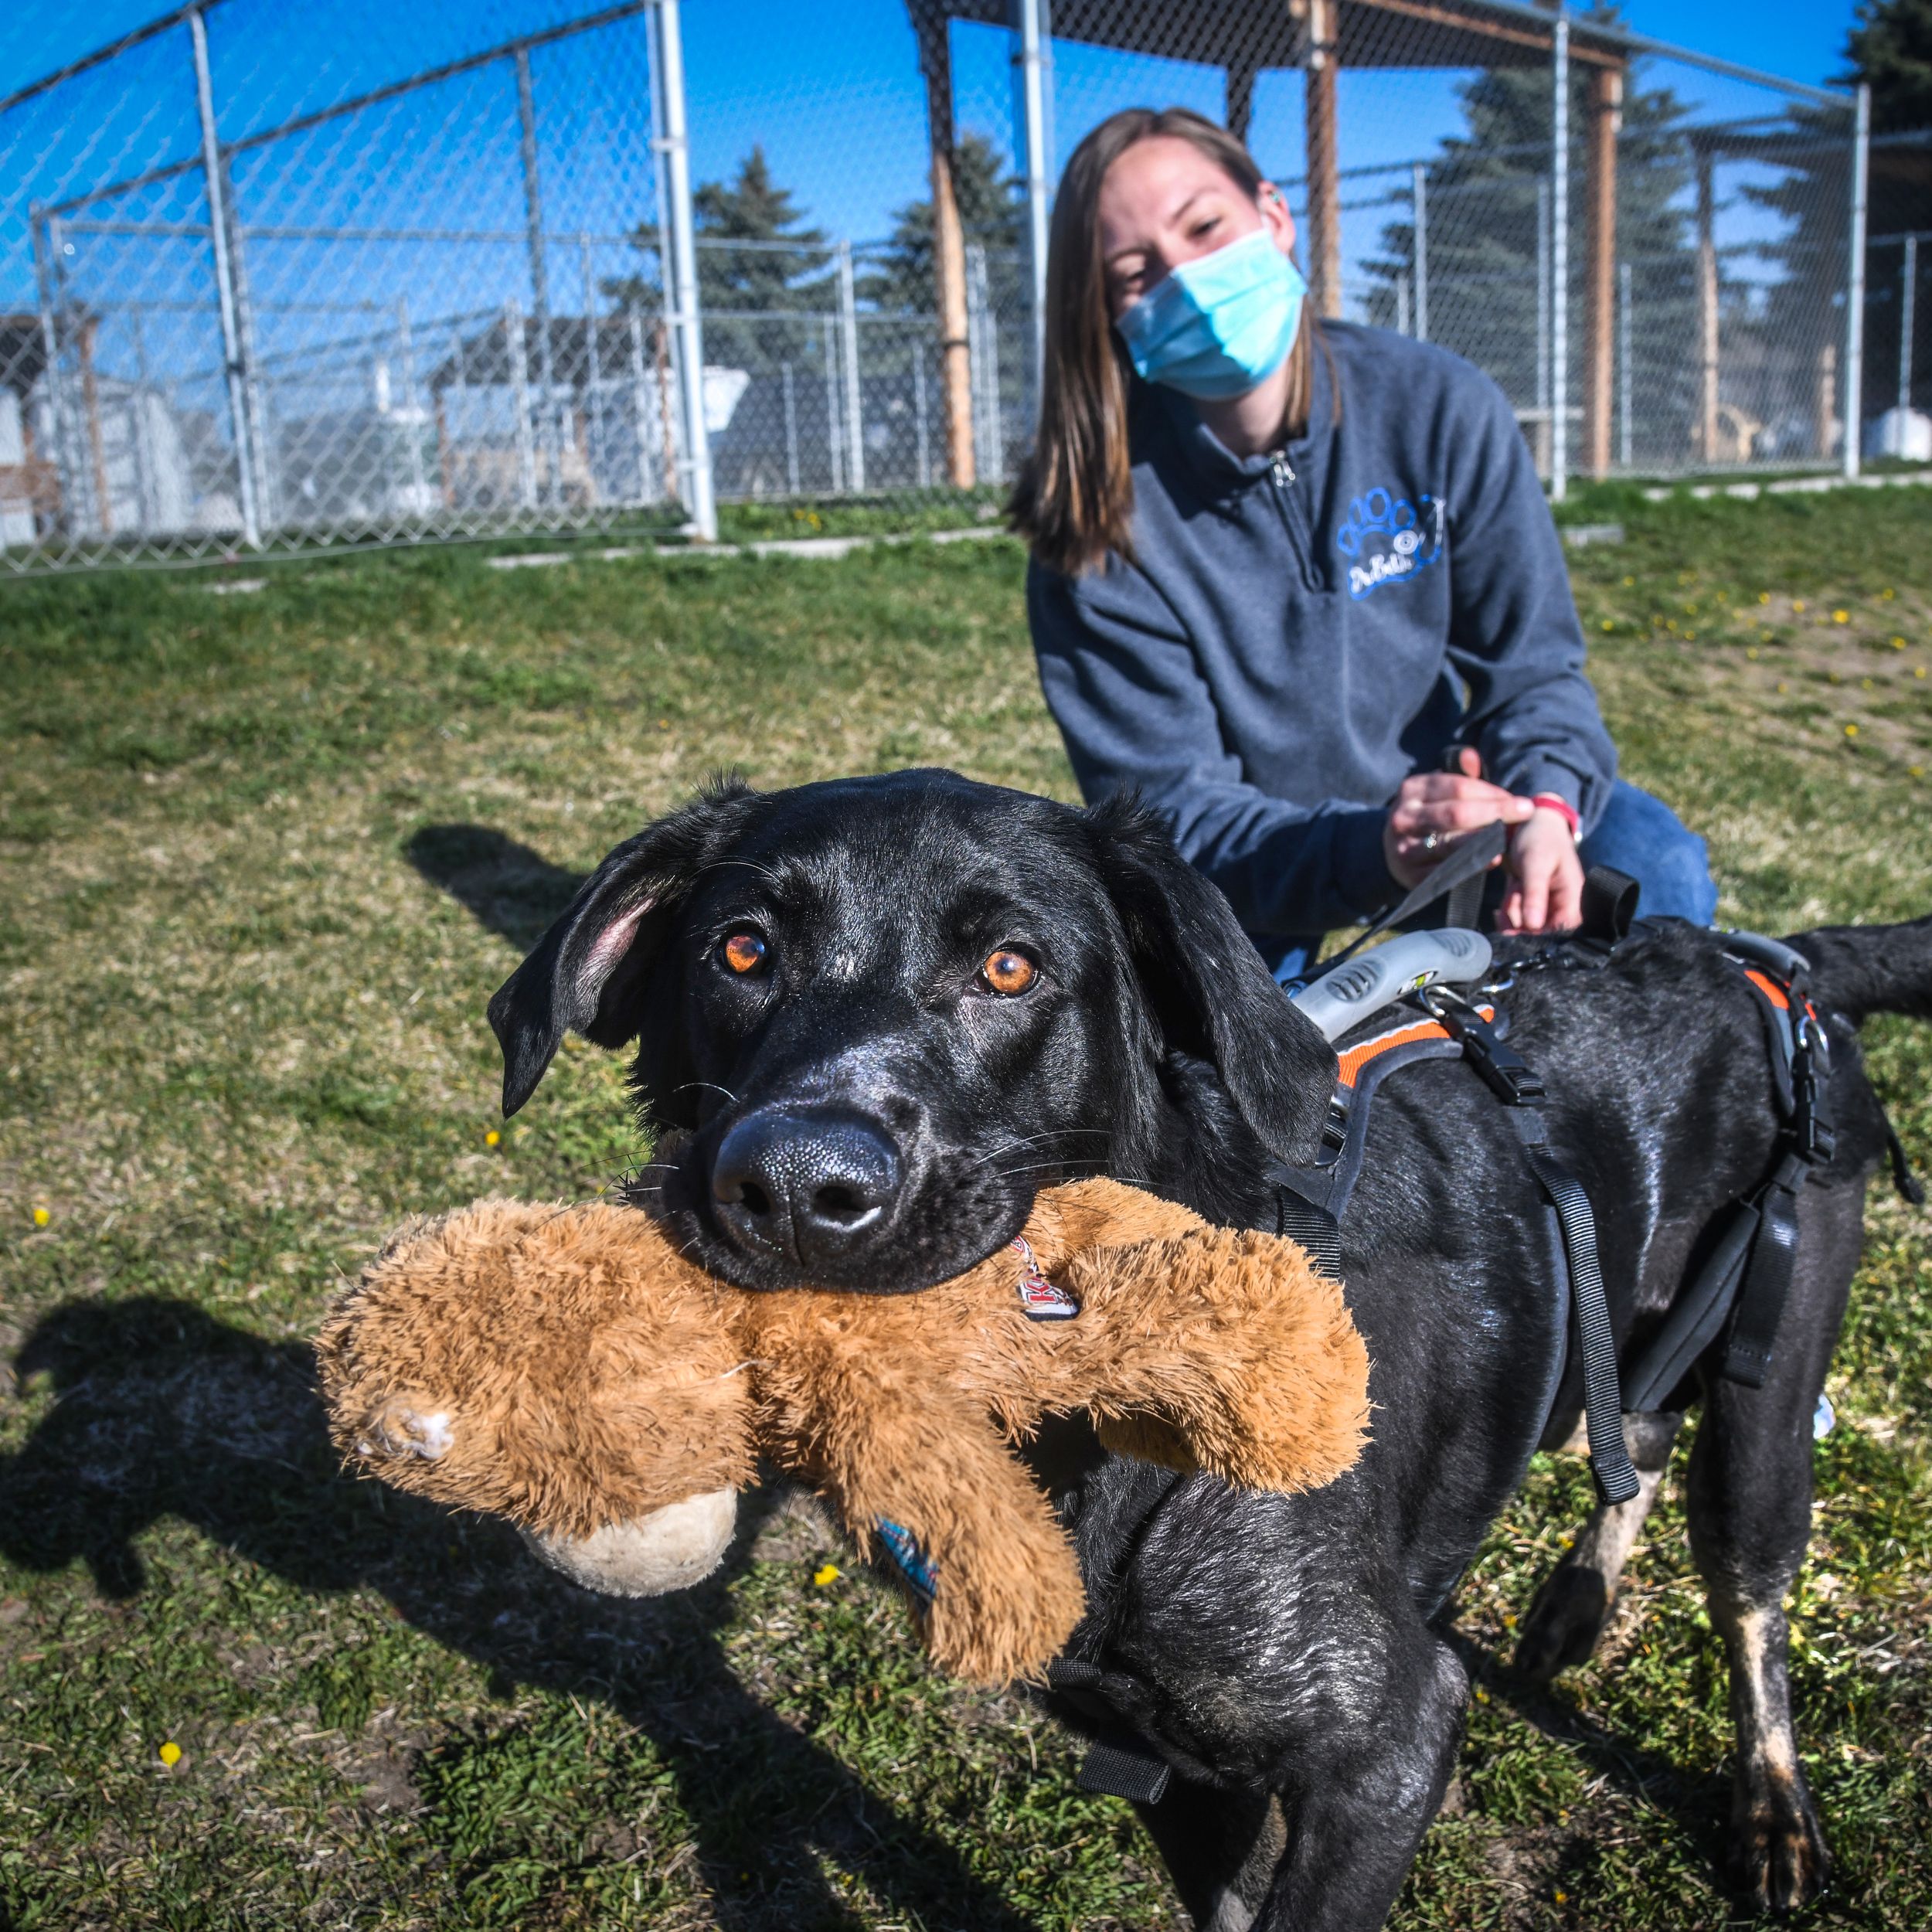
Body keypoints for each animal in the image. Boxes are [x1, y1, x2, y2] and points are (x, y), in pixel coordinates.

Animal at [487, 773, 1932, 1932]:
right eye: (740, 952)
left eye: (1010, 970)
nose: (793, 1185)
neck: (1083, 1433)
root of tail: (1759, 959)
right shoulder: (1177, 1768)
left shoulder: (1385, 1748)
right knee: (1636, 1421)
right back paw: (1578, 1600)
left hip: (1771, 1377)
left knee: (1749, 1591)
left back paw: (1772, 1812)